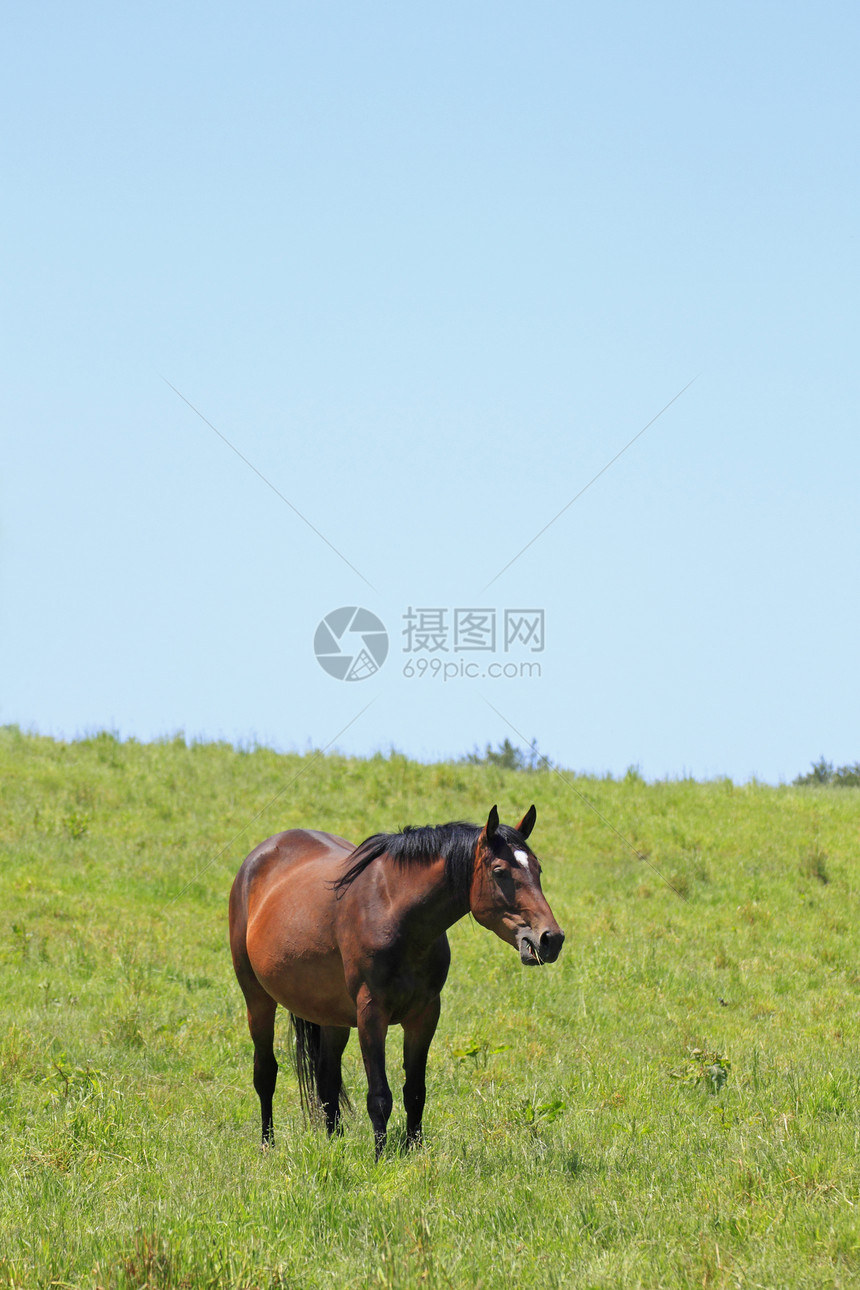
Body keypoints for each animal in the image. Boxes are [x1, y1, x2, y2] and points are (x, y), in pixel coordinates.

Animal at [228, 799, 564, 1155]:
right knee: (266, 1073)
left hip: (332, 1017)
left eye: (537, 870)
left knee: (327, 1078)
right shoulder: (371, 1014)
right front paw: (380, 1158)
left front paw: (415, 1151)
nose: (550, 939)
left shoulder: (424, 1015)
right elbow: (379, 1097)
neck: (395, 914)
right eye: (500, 872)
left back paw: (334, 1143)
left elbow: (415, 1091)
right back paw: (267, 1144)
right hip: (257, 1000)